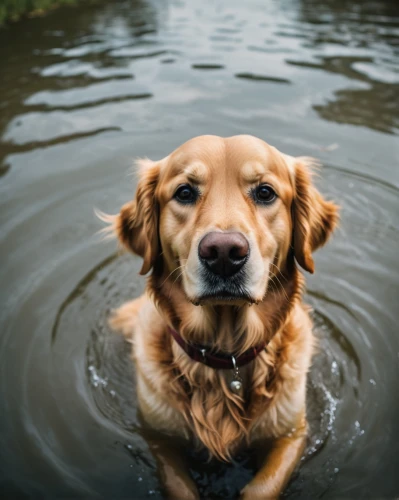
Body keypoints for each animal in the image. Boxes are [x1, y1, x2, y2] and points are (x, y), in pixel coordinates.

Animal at [102, 135, 338, 498]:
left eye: (265, 192)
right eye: (184, 192)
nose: (224, 252)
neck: (227, 358)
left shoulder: (290, 435)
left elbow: (263, 487)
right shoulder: (159, 437)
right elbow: (179, 485)